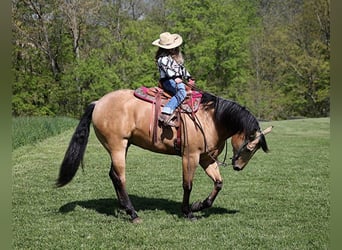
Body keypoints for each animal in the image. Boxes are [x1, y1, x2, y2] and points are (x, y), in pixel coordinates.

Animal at [56, 88, 272, 223]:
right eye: (249, 148)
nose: (238, 167)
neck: (211, 119)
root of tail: (98, 102)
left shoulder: (205, 158)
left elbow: (218, 183)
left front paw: (199, 205)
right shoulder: (190, 156)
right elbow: (187, 185)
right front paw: (187, 212)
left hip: (123, 146)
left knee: (113, 175)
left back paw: (125, 208)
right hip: (117, 146)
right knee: (120, 177)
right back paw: (133, 213)